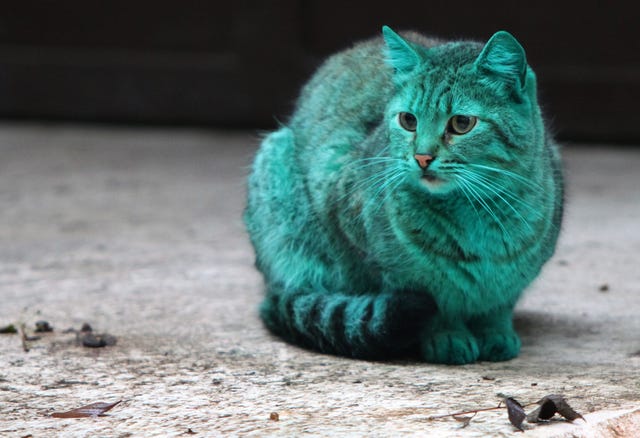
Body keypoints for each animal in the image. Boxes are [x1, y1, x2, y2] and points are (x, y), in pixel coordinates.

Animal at [242, 25, 564, 364]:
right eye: (408, 120)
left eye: (462, 123)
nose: (422, 157)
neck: (477, 211)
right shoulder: (387, 264)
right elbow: (435, 306)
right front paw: (447, 335)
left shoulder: (514, 278)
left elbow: (499, 306)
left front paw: (495, 332)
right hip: (279, 188)